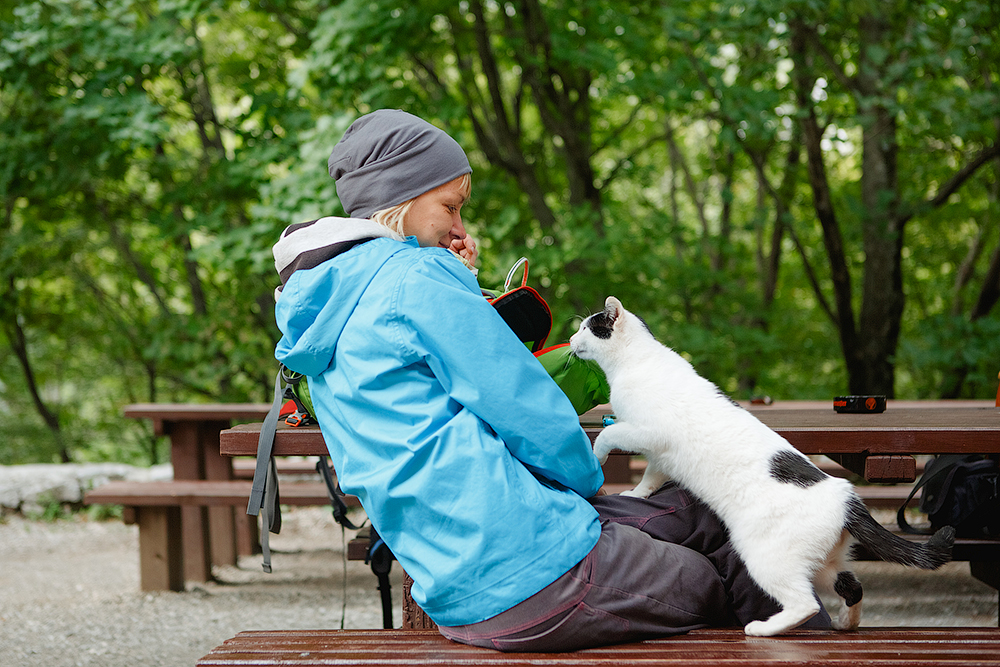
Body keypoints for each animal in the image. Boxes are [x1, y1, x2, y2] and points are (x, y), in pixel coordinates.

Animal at [572, 296, 952, 636]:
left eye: (586, 327)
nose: (572, 340)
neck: (636, 362)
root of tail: (848, 498)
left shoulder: (645, 431)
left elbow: (608, 435)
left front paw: (597, 458)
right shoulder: (661, 455)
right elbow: (651, 478)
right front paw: (636, 494)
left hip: (765, 556)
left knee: (805, 604)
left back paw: (763, 629)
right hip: (824, 564)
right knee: (852, 586)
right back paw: (846, 624)